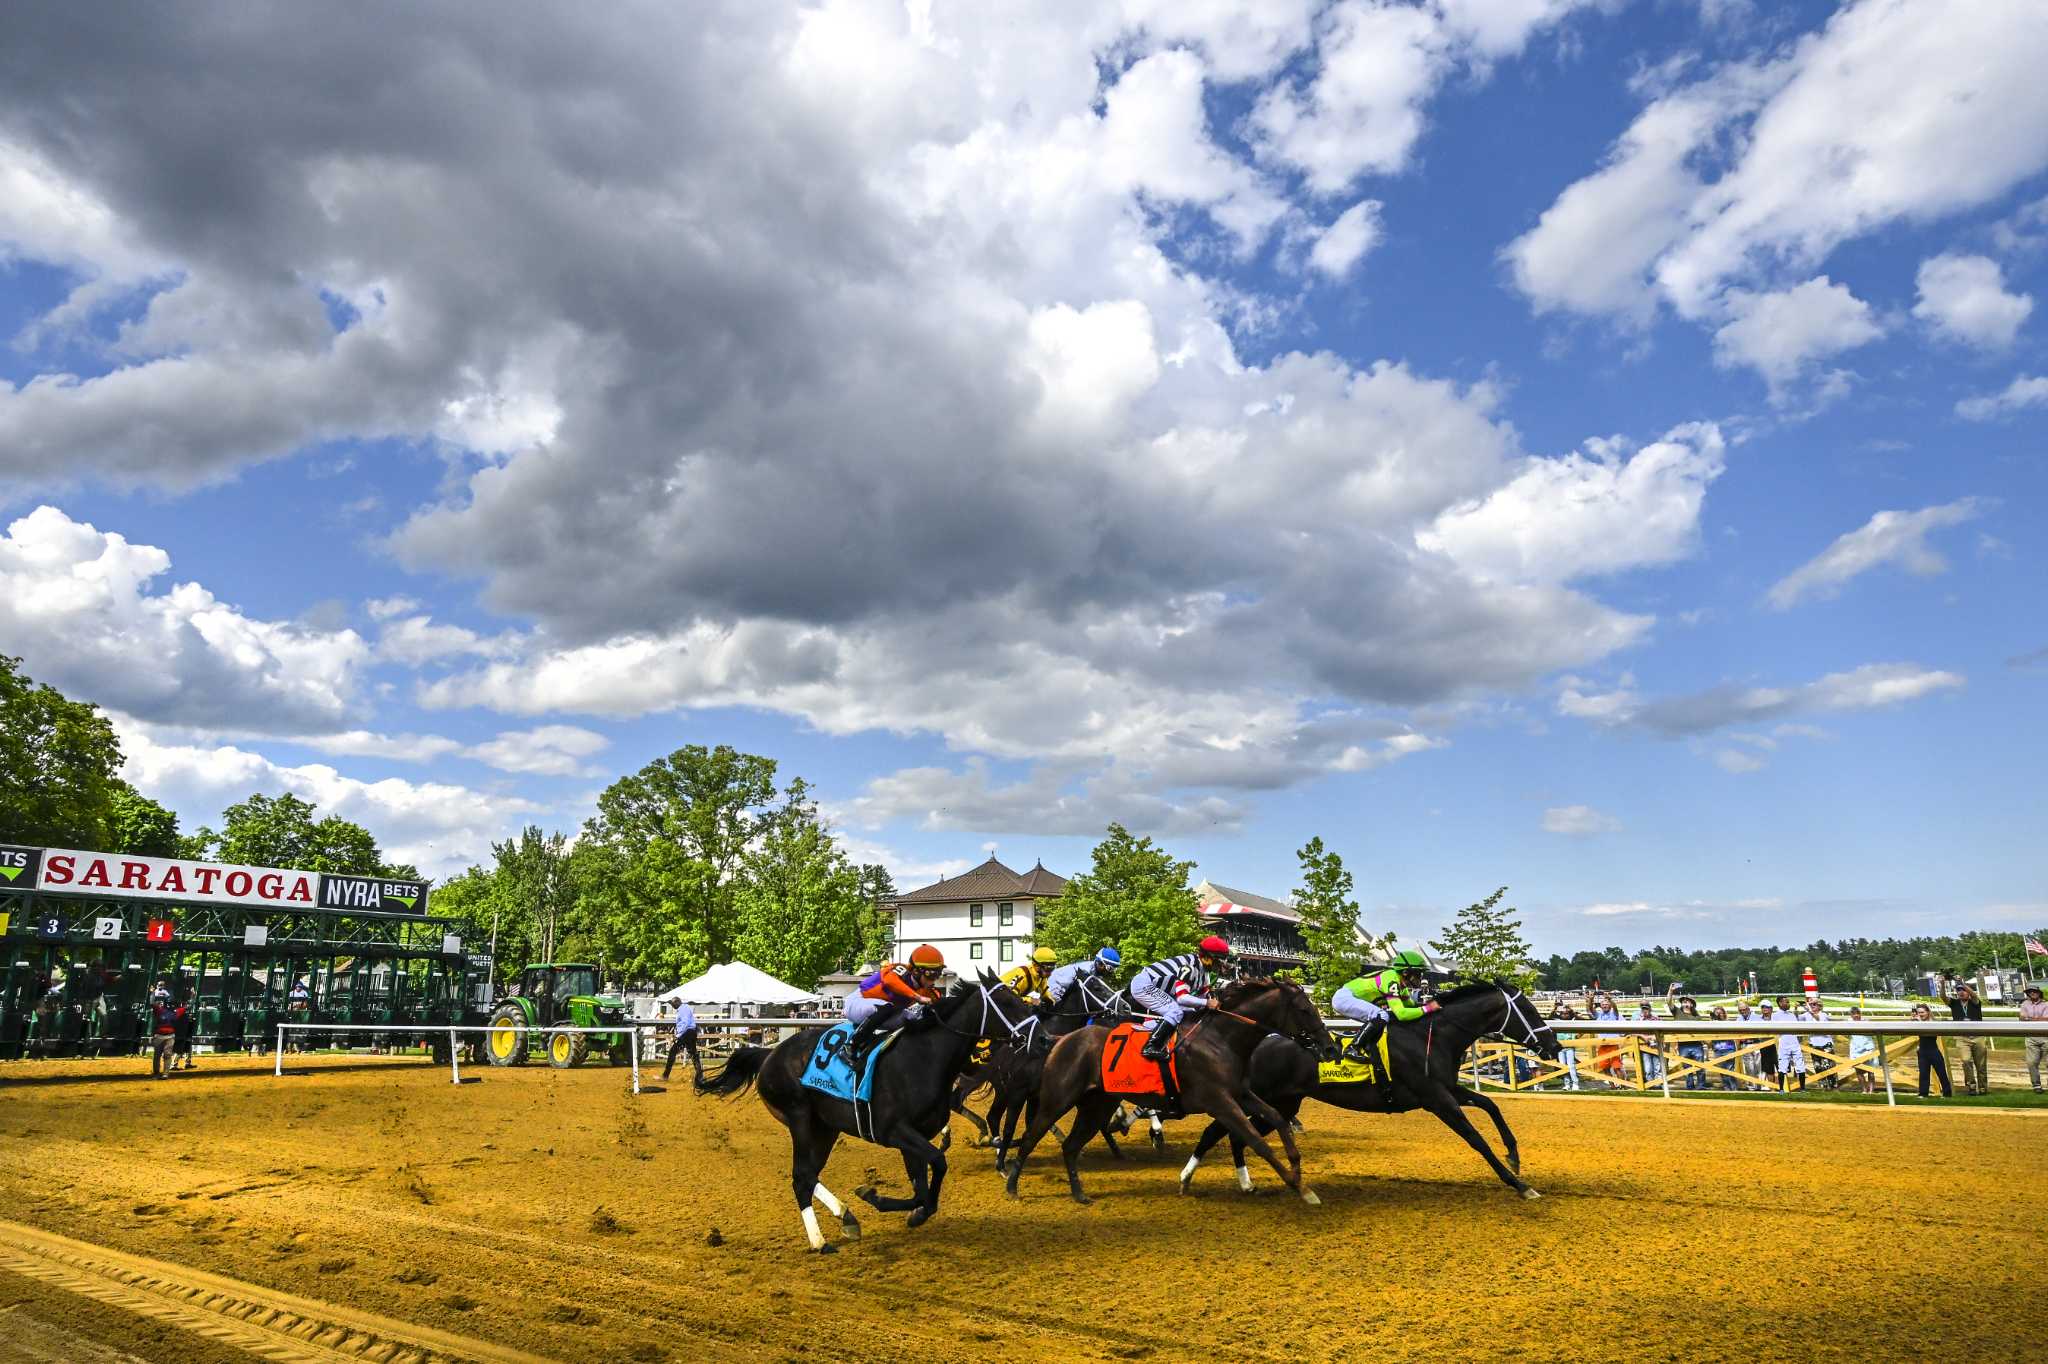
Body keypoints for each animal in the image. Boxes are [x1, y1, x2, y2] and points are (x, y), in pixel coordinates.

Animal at [696, 962, 1032, 1245]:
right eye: (1008, 1002)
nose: (1039, 1037)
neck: (926, 1056)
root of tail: (769, 1054)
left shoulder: (915, 1137)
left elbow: (922, 1192)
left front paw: (900, 1207)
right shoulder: (894, 1131)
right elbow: (937, 1163)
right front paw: (878, 1197)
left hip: (825, 1128)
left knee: (809, 1175)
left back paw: (845, 1216)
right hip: (799, 1117)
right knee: (801, 1176)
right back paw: (820, 1241)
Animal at [999, 978, 1335, 1204]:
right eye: (1305, 1009)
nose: (1330, 1047)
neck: (1221, 1039)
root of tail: (1062, 1040)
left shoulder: (1240, 1094)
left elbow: (1277, 1118)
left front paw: (1297, 1167)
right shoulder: (1220, 1102)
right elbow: (1257, 1141)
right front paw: (1300, 1187)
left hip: (1097, 1105)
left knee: (1070, 1146)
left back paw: (1079, 1194)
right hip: (1058, 1099)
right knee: (1030, 1136)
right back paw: (1012, 1186)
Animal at [1179, 983, 1556, 1196]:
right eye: (1529, 1009)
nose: (1552, 1044)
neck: (1432, 1035)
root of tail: (1252, 1044)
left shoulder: (1448, 1090)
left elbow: (1490, 1104)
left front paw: (1514, 1156)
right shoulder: (1437, 1099)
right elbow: (1475, 1138)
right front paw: (1519, 1185)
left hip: (1284, 1104)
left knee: (1235, 1133)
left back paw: (1242, 1182)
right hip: (1252, 1097)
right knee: (1220, 1130)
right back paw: (1190, 1178)